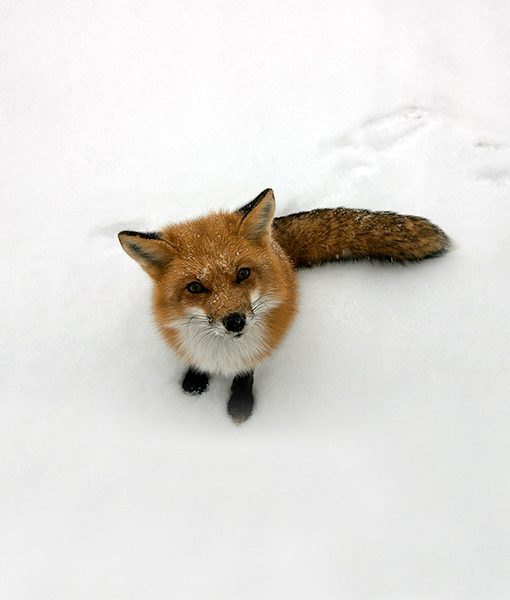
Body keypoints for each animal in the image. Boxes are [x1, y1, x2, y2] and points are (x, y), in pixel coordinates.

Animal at [118, 188, 449, 423]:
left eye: (243, 273)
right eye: (195, 287)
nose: (235, 321)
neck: (223, 354)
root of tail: (276, 243)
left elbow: (245, 374)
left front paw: (240, 406)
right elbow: (195, 363)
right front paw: (194, 383)